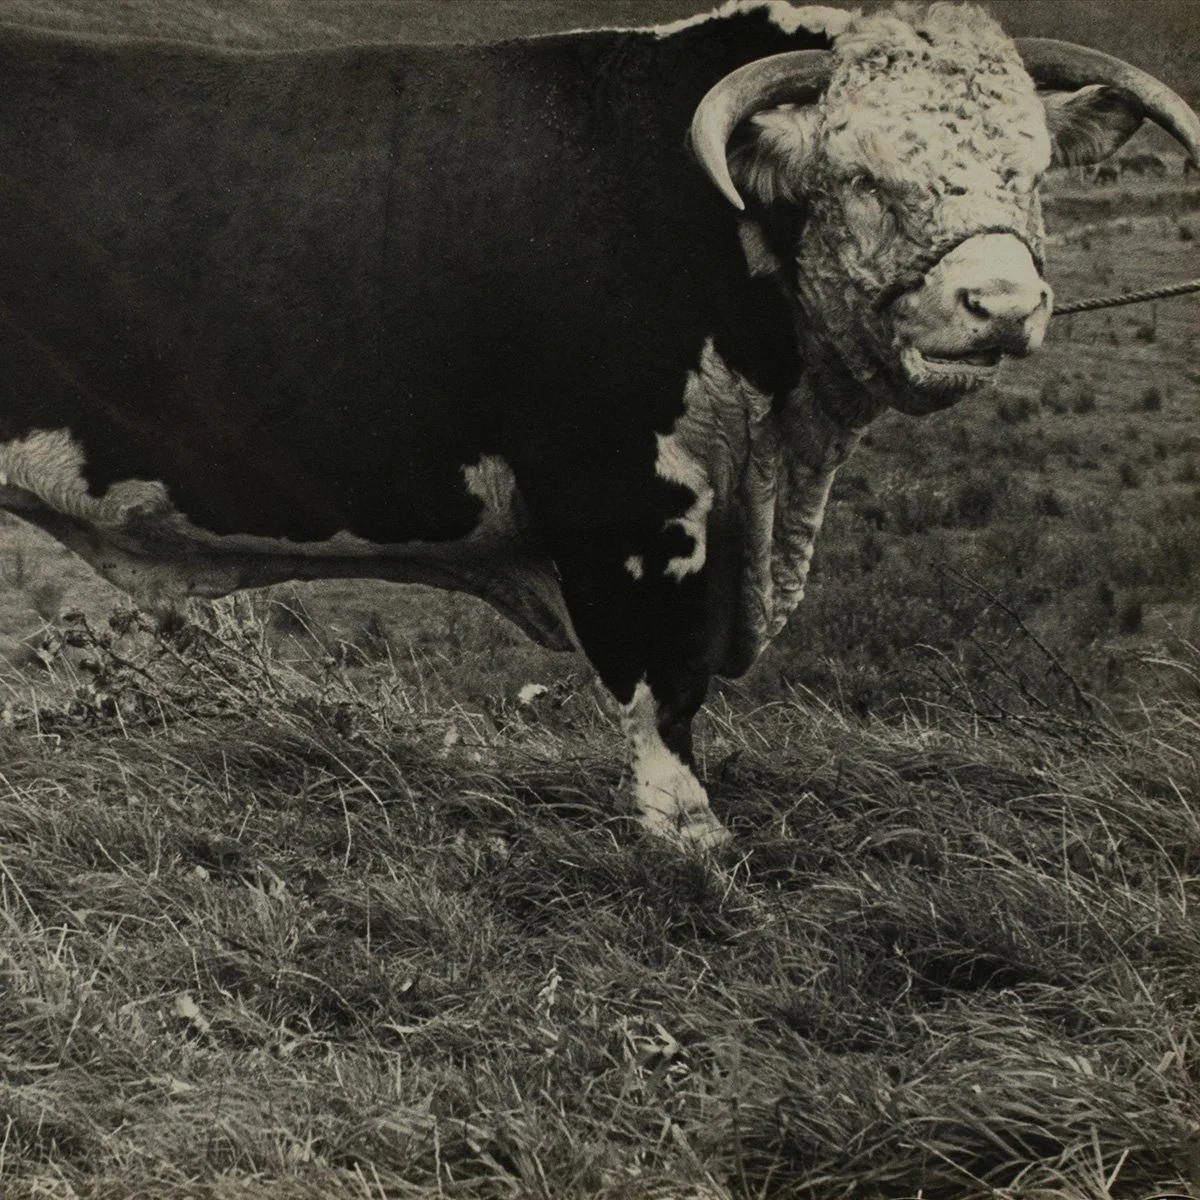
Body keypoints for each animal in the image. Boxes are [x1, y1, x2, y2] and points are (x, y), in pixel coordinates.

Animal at [0, 2, 1197, 847]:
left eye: (1032, 170)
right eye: (859, 174)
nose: (1000, 305)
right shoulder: (629, 502)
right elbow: (662, 685)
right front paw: (690, 835)